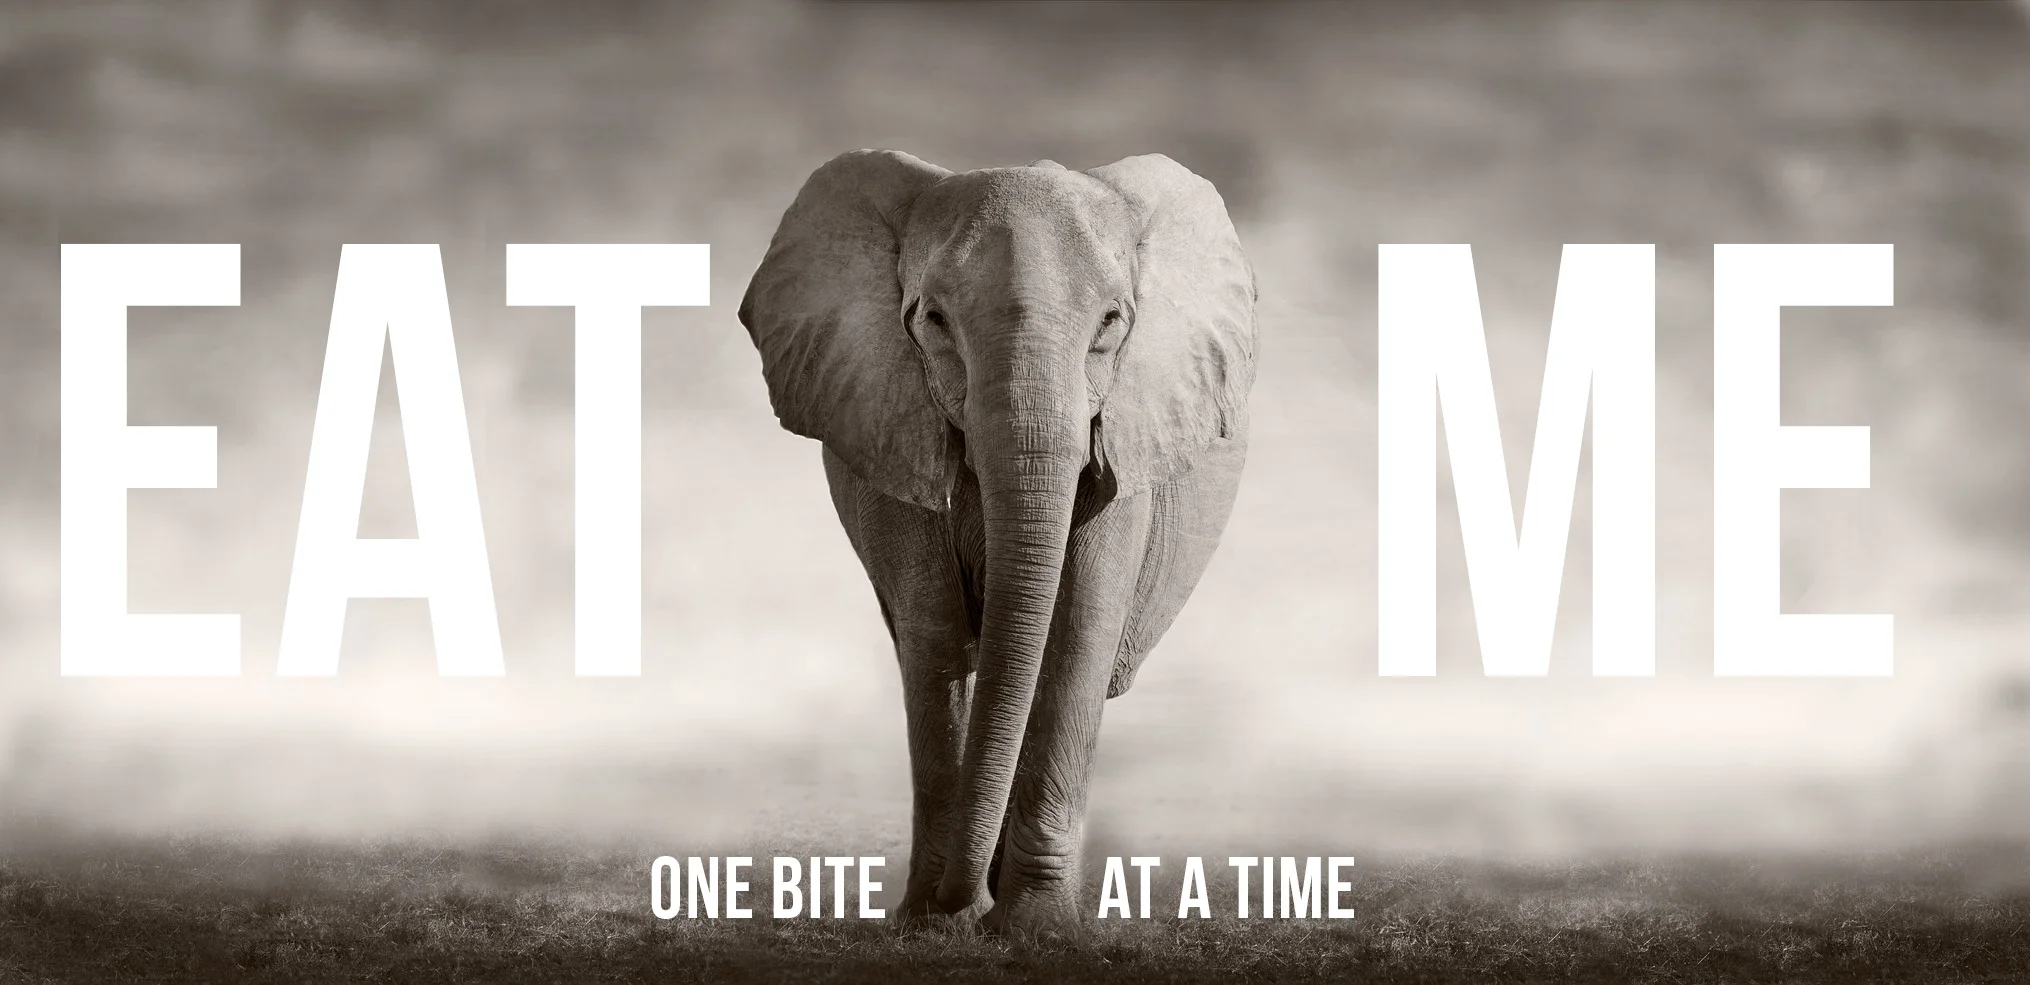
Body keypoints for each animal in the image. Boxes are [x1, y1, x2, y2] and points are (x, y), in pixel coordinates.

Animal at [738, 149, 1257, 936]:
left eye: (1112, 321)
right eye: (933, 320)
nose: (963, 903)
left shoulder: (1125, 438)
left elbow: (1075, 632)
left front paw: (1036, 928)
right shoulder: (893, 427)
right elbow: (935, 632)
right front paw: (936, 922)